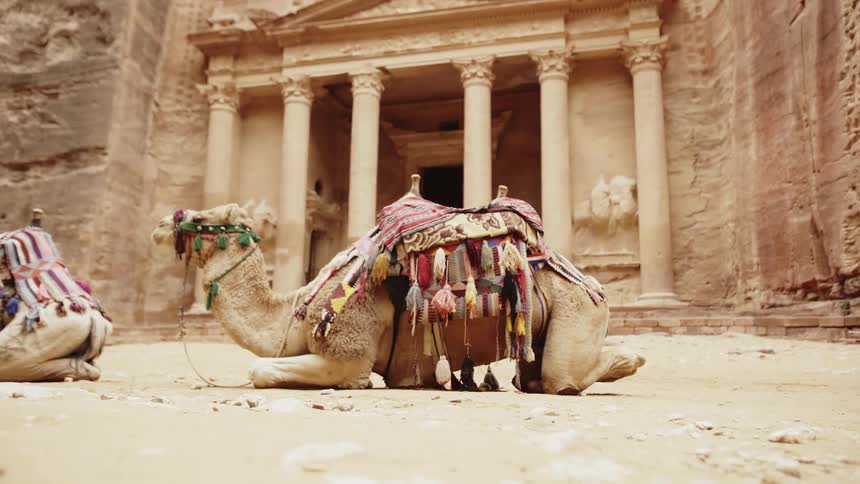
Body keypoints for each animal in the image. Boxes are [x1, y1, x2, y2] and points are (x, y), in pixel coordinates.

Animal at [151, 192, 645, 394]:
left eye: (207, 218)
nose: (159, 224)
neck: (293, 311)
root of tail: (594, 285)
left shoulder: (346, 352)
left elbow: (260, 370)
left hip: (577, 308)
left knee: (565, 376)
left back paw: (631, 359)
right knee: (536, 376)